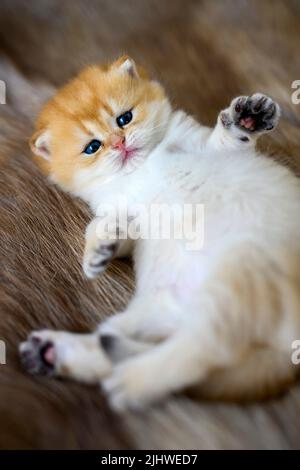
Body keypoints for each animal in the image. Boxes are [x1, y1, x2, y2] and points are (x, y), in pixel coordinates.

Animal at [19, 54, 300, 408]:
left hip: (242, 269)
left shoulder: (210, 147)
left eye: (124, 118)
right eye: (92, 147)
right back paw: (51, 354)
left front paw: (248, 118)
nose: (120, 143)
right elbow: (103, 228)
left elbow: (226, 140)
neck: (143, 168)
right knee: (133, 344)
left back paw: (131, 381)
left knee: (206, 349)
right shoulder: (123, 212)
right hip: (158, 307)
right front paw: (97, 252)